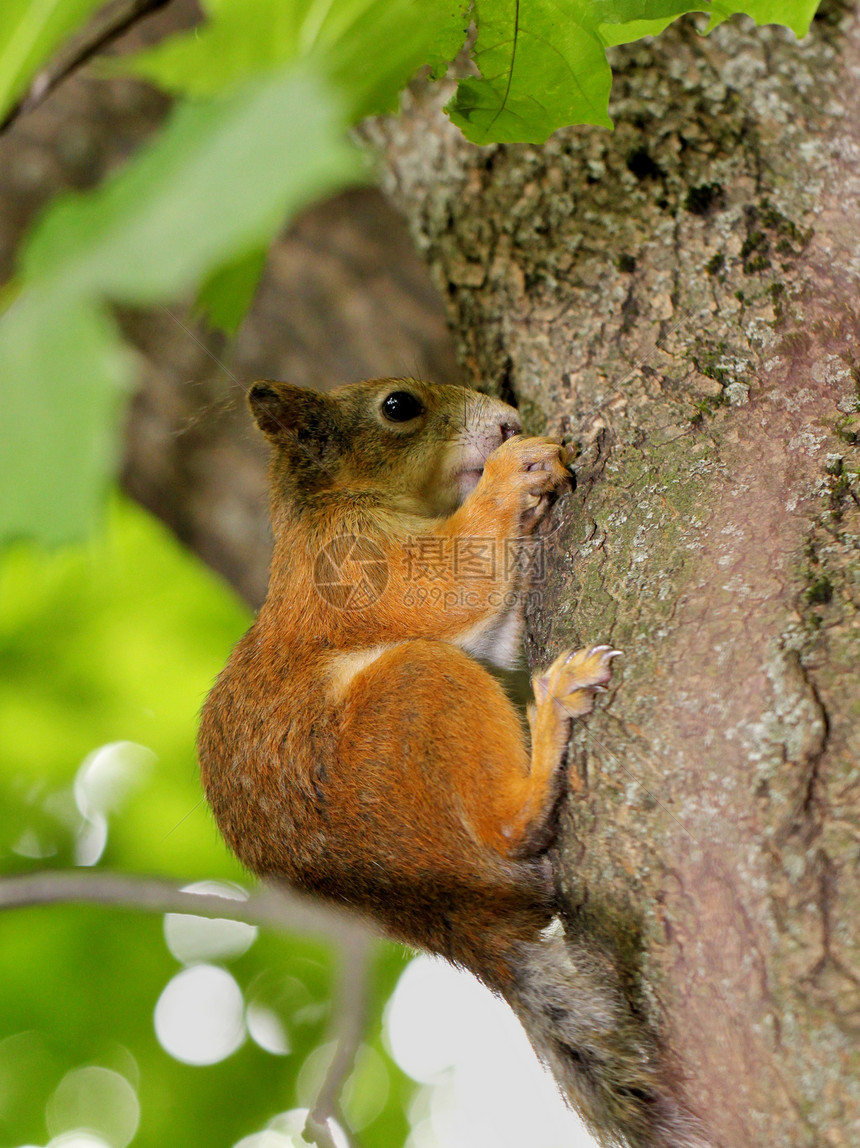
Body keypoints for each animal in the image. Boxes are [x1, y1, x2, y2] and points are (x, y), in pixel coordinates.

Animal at [197, 378, 707, 1148]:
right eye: (399, 405)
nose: (508, 422)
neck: (338, 502)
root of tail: (445, 913)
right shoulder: (350, 563)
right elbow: (440, 588)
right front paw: (517, 473)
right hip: (413, 703)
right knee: (506, 827)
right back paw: (550, 727)